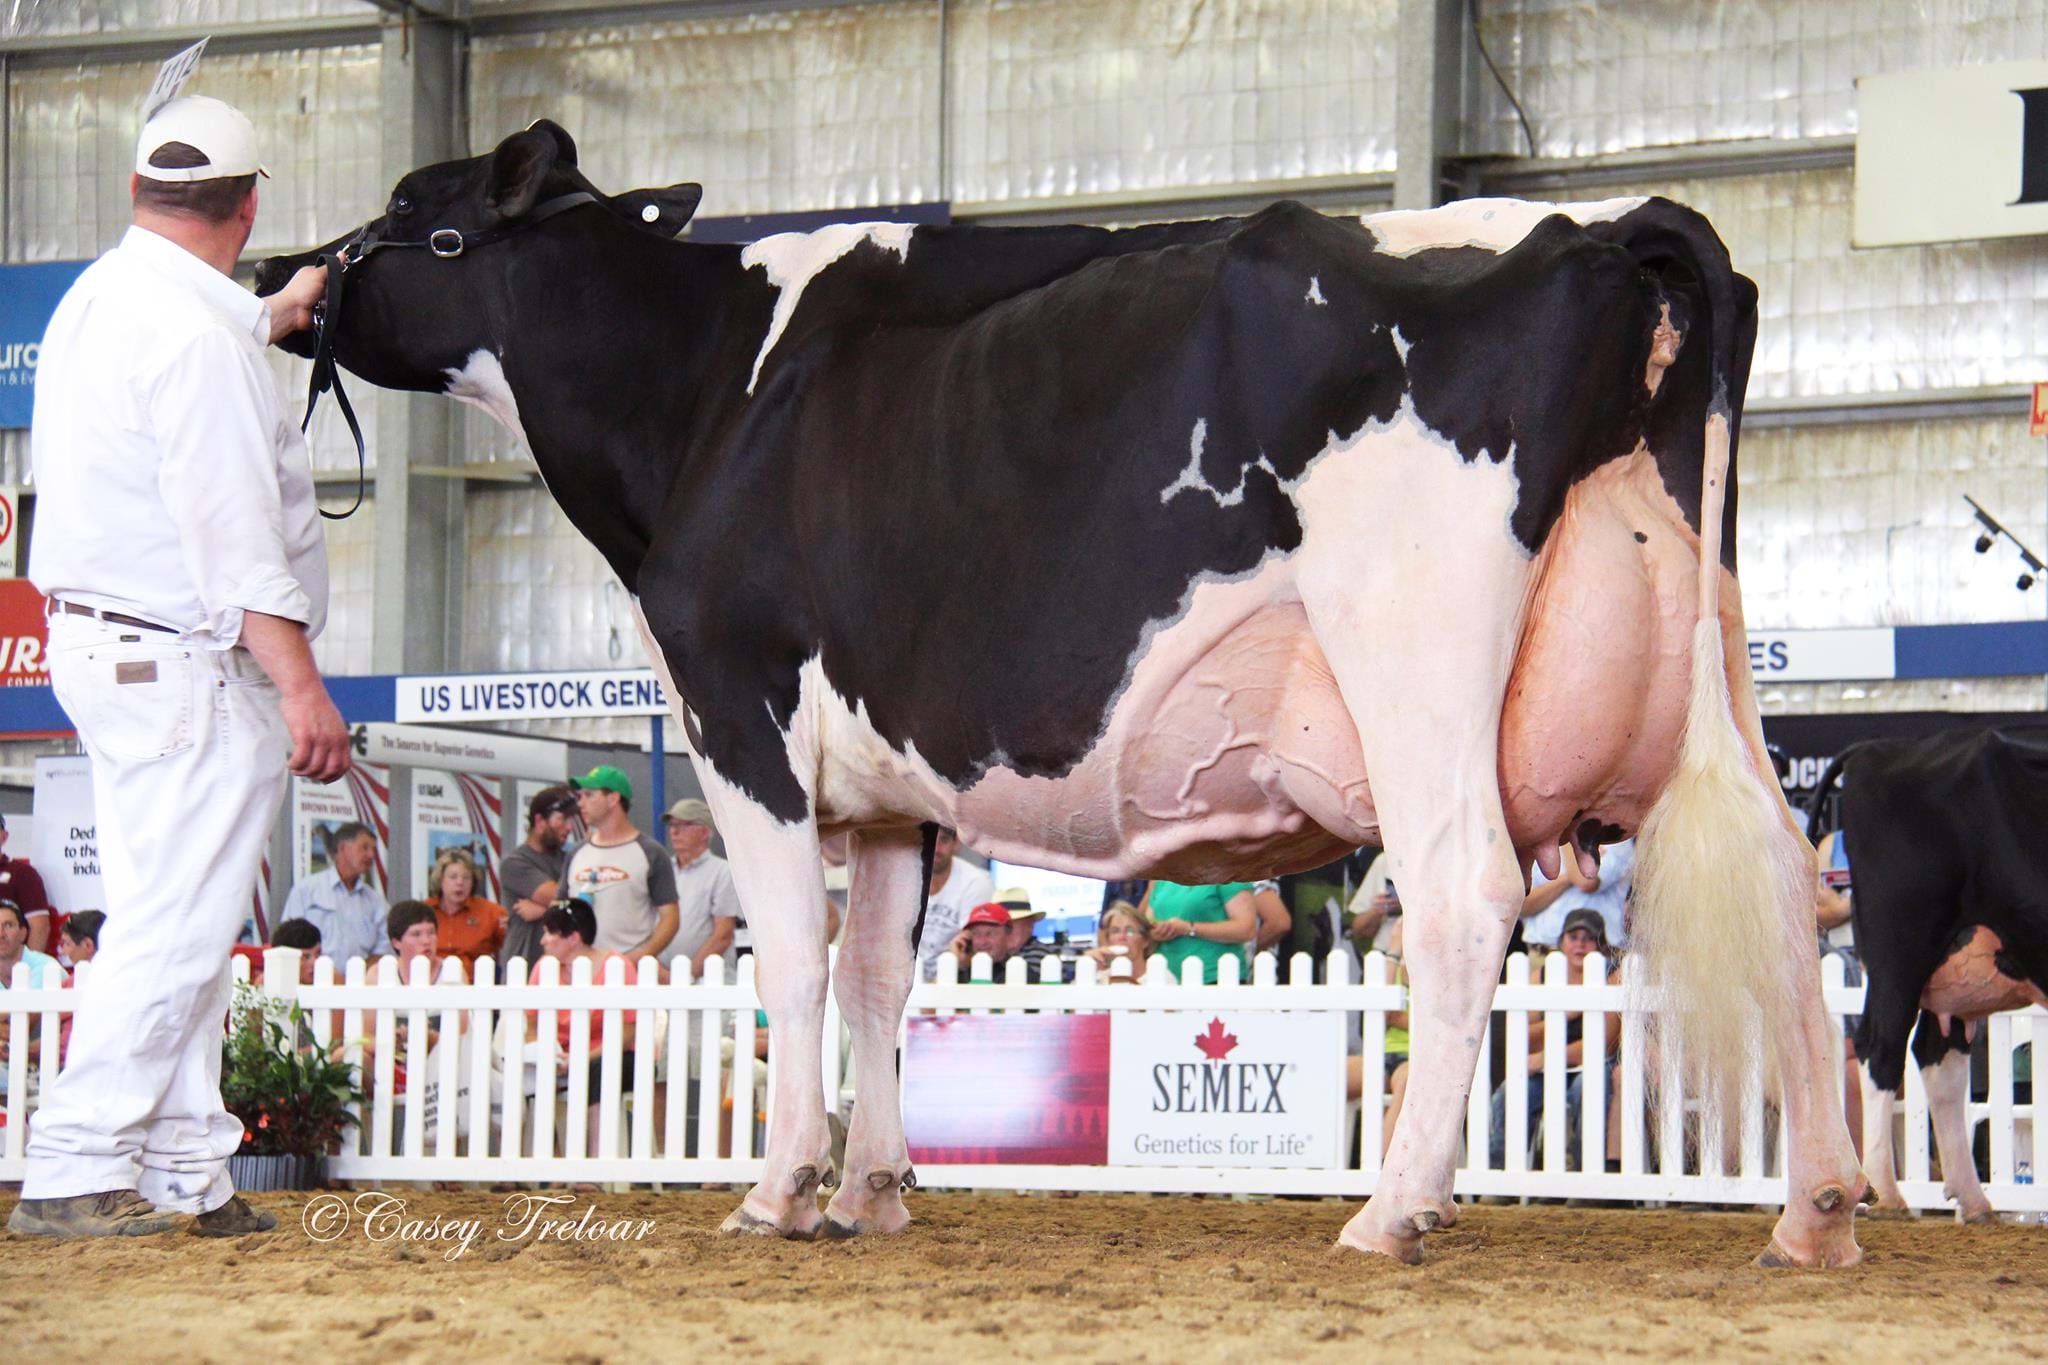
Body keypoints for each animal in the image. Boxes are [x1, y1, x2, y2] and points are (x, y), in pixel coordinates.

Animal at [256, 120, 1866, 1265]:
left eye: (408, 206)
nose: (281, 278)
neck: (711, 385)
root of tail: (1611, 223)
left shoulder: (738, 711)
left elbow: (789, 965)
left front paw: (780, 1192)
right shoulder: (890, 790)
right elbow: (879, 972)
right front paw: (877, 1189)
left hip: (1412, 650)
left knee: (1464, 891)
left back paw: (1395, 1207)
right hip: (1710, 653)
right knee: (1782, 884)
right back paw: (1815, 1212)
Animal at [1807, 726, 2048, 1221]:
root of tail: (1876, 748)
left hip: (1956, 971)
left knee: (1939, 1058)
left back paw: (1974, 1200)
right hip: (1901, 947)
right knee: (1880, 1047)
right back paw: (1887, 1193)